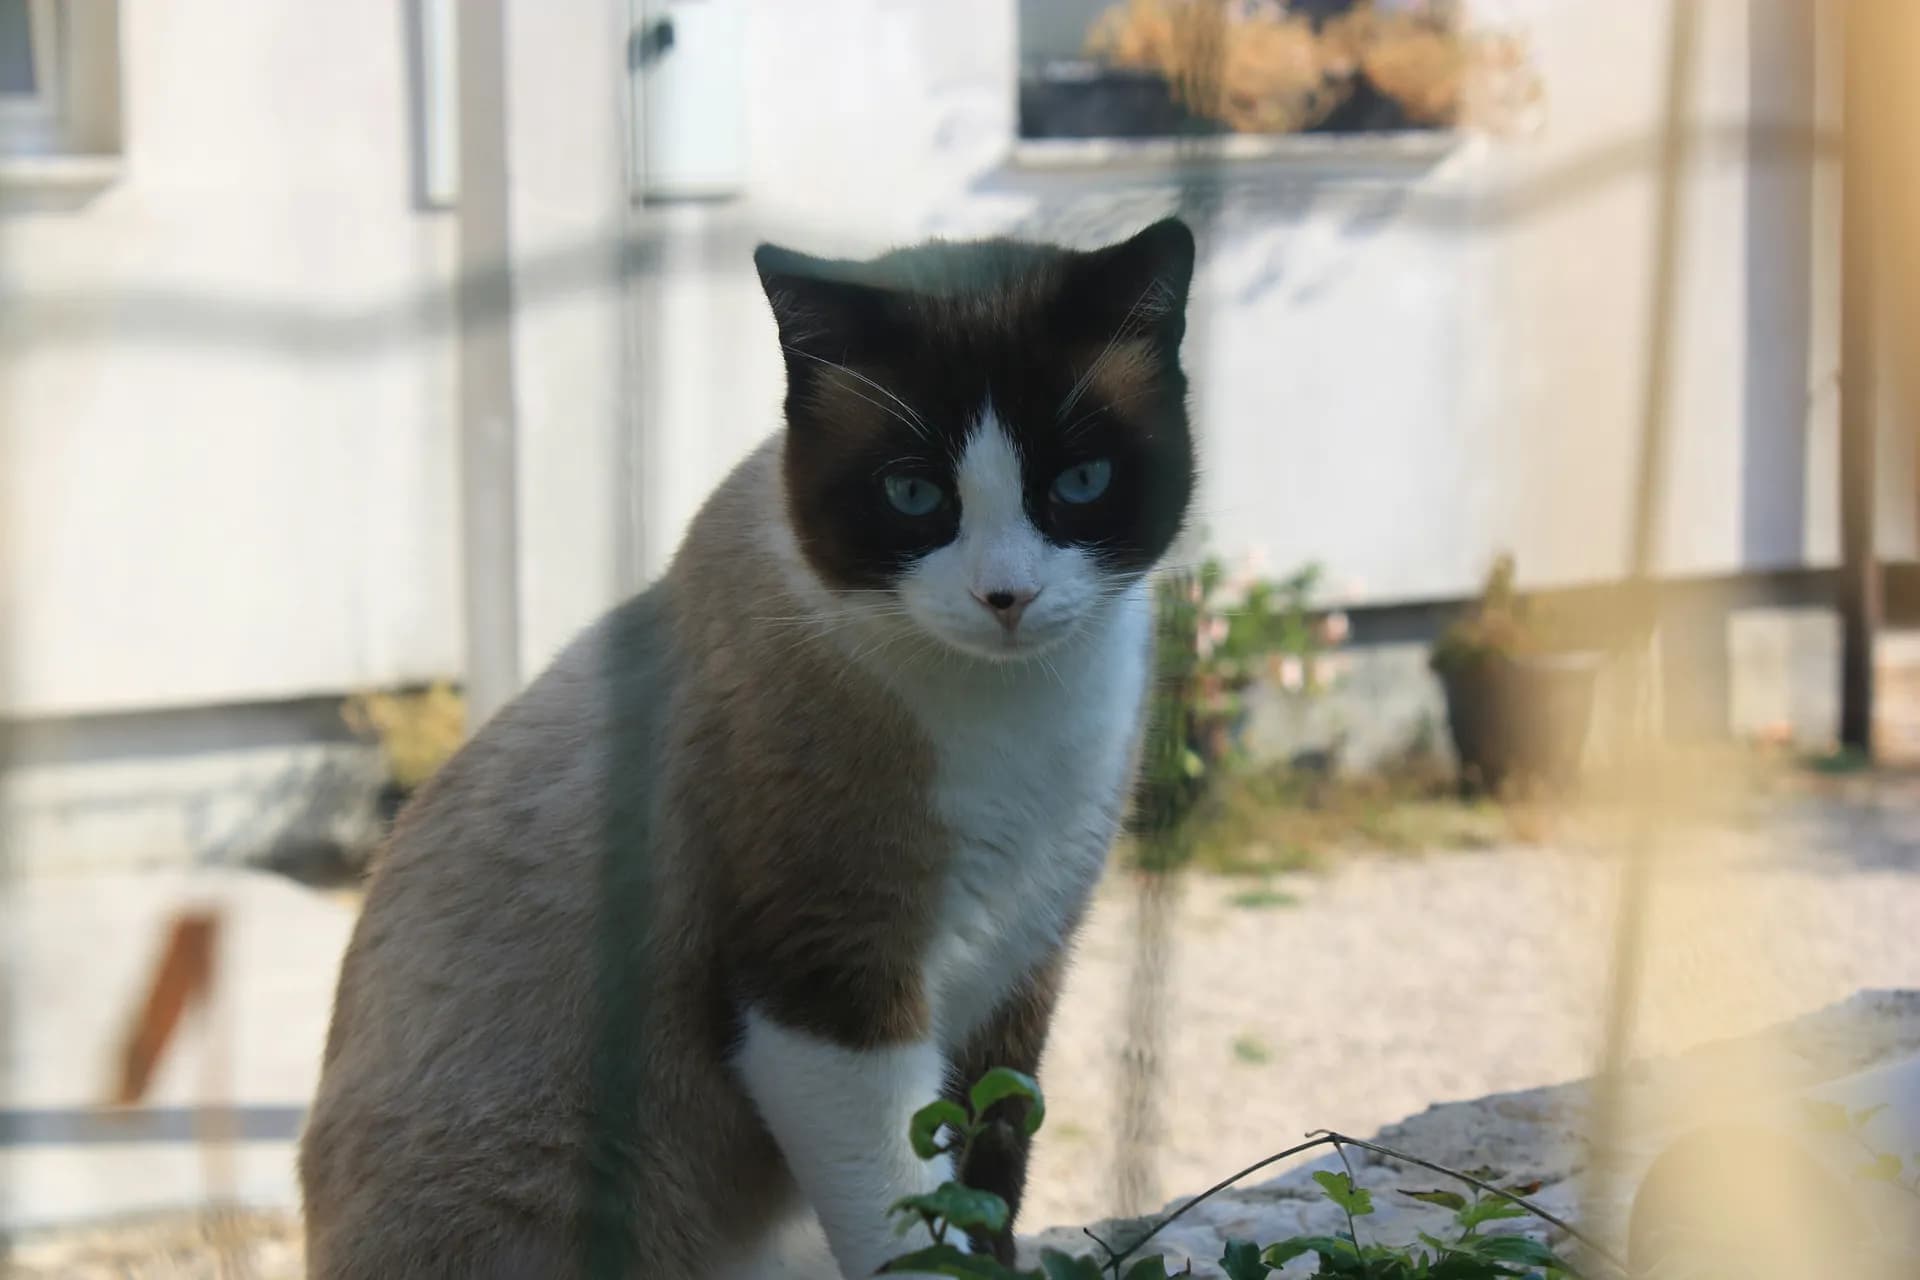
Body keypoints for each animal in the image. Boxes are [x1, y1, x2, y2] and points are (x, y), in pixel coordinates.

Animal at [299, 214, 1190, 1274]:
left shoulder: (1022, 970)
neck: (1018, 708)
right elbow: (911, 1227)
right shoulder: (826, 997)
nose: (1005, 597)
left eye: (1081, 482)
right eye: (913, 495)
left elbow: (985, 1198)